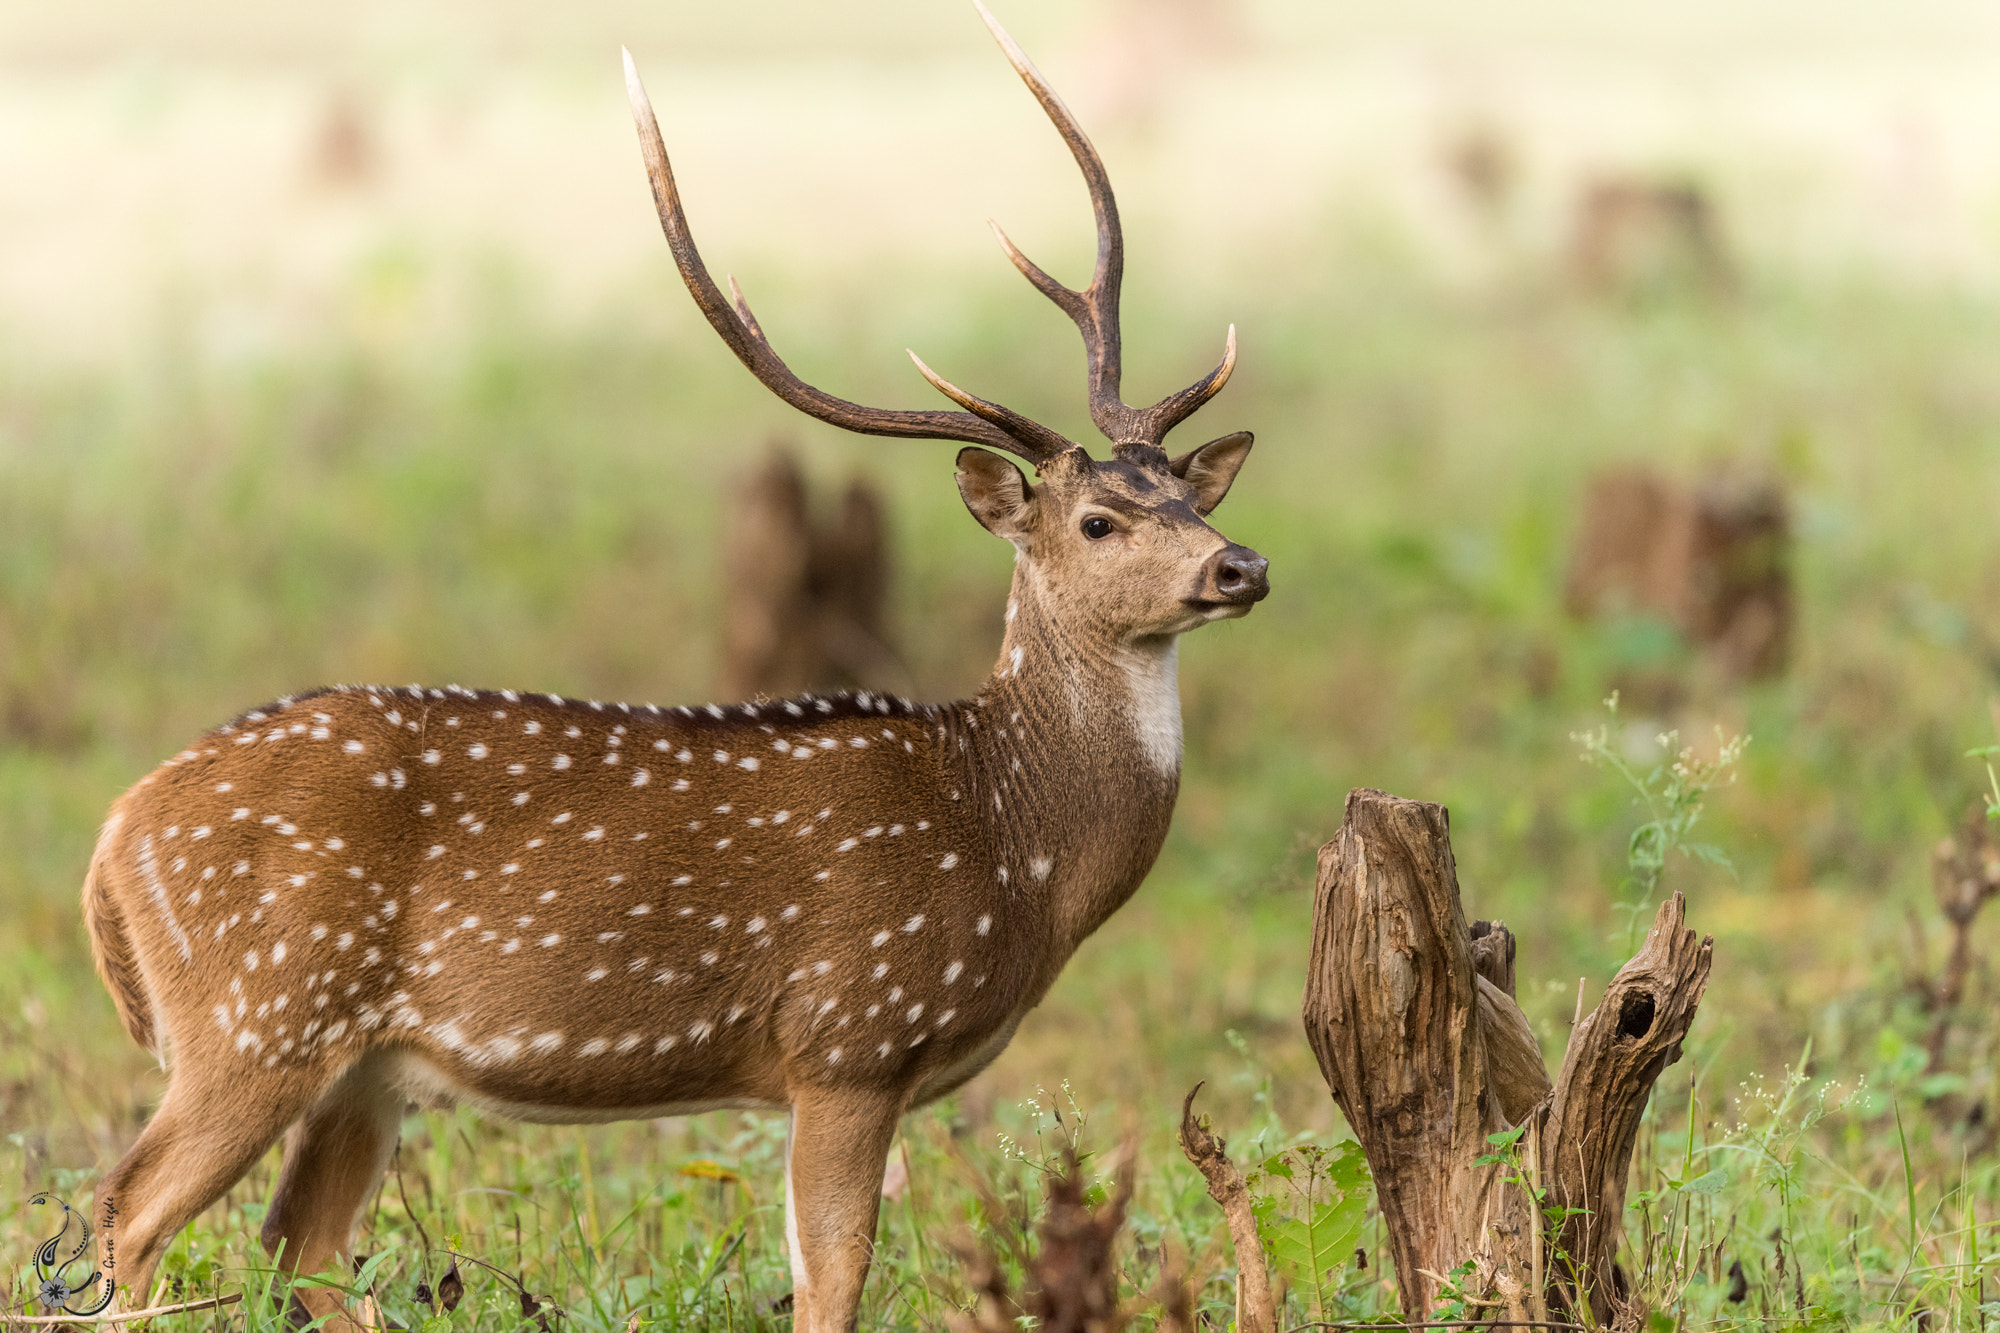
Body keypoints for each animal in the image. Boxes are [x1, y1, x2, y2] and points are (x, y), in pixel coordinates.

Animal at [82, 5, 1264, 1320]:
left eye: (1188, 495)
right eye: (1097, 520)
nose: (1239, 567)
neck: (1014, 841)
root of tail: (114, 836)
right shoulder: (850, 1033)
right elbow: (835, 1272)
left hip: (360, 1065)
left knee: (300, 1241)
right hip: (257, 1012)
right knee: (129, 1209)